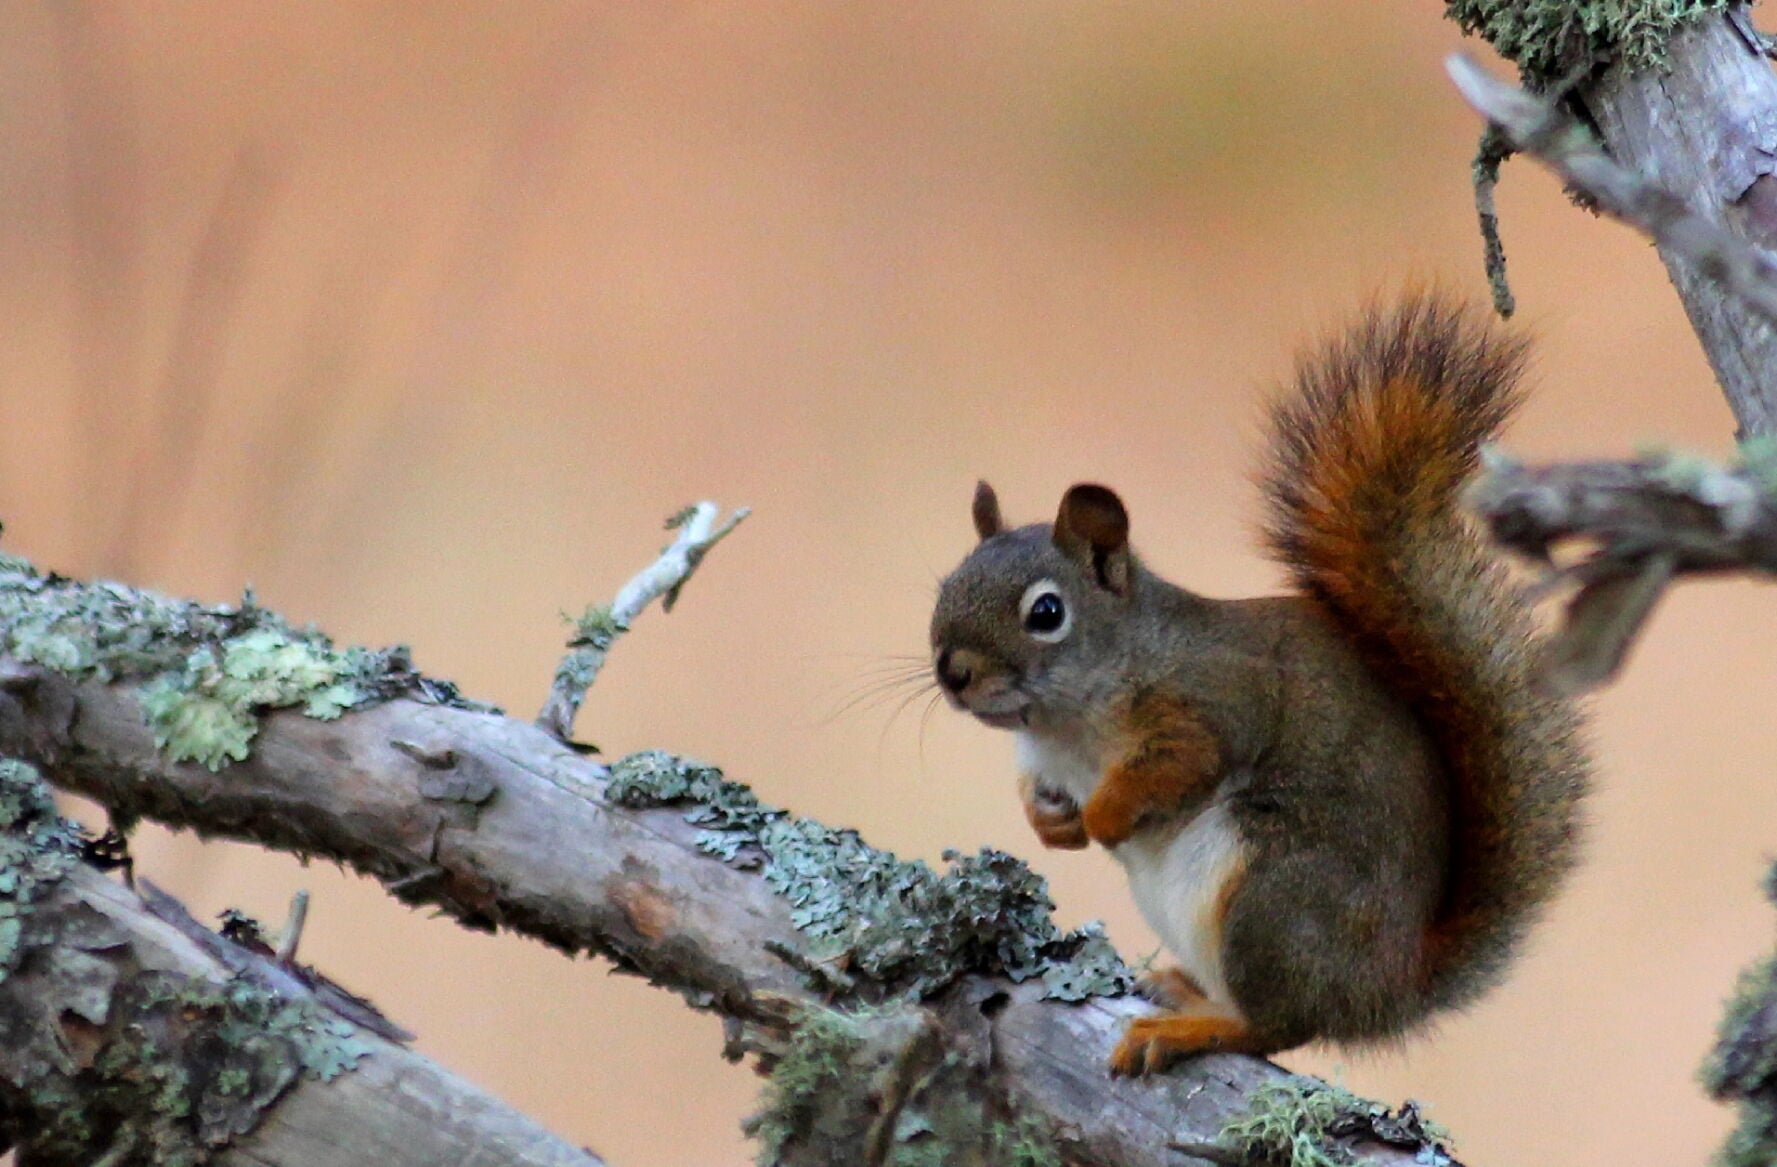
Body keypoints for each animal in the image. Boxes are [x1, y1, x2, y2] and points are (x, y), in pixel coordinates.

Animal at [928, 296, 1590, 1076]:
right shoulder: (1042, 758)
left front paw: (1103, 818)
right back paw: (1184, 993)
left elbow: (1182, 763)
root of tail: (1385, 988)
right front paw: (1051, 823)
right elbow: (1037, 796)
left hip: (1270, 900)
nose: (952, 671)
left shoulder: (1212, 700)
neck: (1065, 726)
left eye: (1046, 613)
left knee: (1277, 1024)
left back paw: (1189, 1028)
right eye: (947, 585)